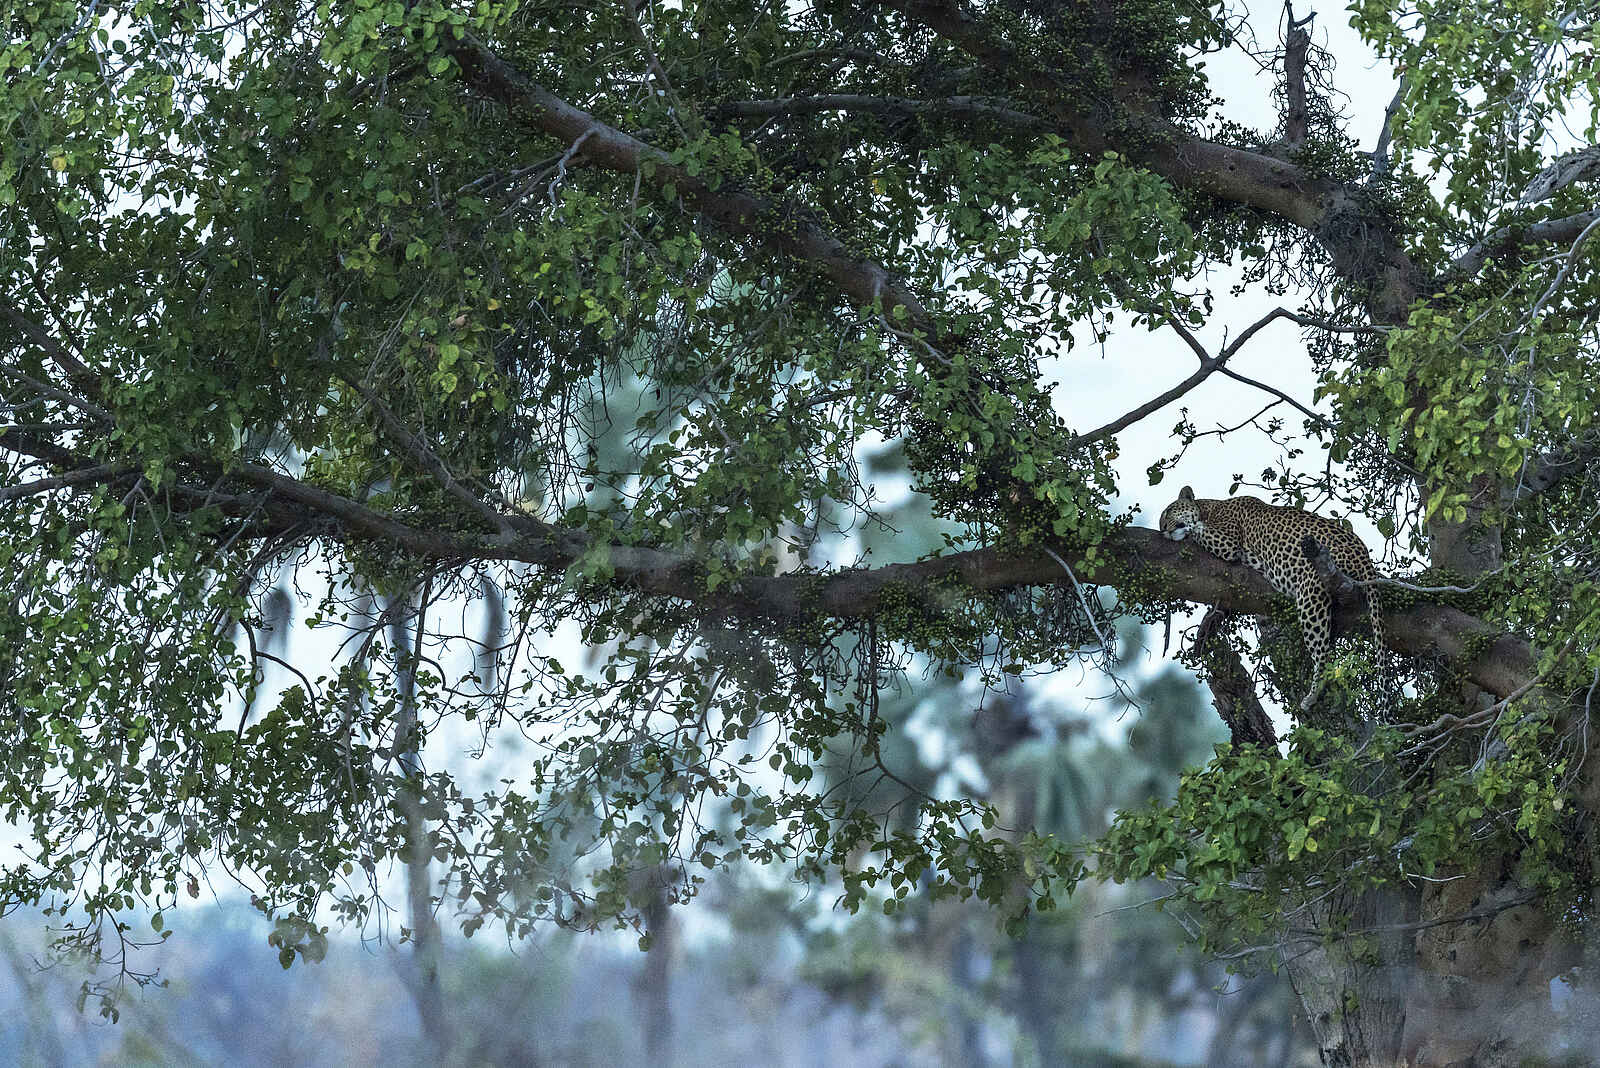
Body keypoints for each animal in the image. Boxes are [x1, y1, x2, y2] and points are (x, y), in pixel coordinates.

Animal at [1158, 486, 1385, 712]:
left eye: (1168, 511)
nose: (1163, 530)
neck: (1210, 507)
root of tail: (1364, 556)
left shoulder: (1227, 542)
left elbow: (1196, 528)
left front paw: (1185, 529)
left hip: (1311, 591)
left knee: (1323, 654)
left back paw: (1312, 694)